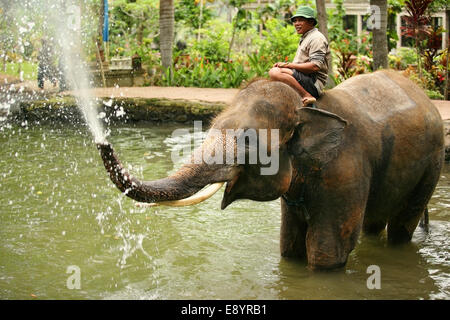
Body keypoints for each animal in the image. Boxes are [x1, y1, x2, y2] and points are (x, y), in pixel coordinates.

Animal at [96, 70, 444, 270]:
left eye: (248, 141)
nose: (103, 143)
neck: (305, 107)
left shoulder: (345, 168)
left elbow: (327, 251)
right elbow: (289, 246)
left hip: (432, 164)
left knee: (401, 226)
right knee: (374, 223)